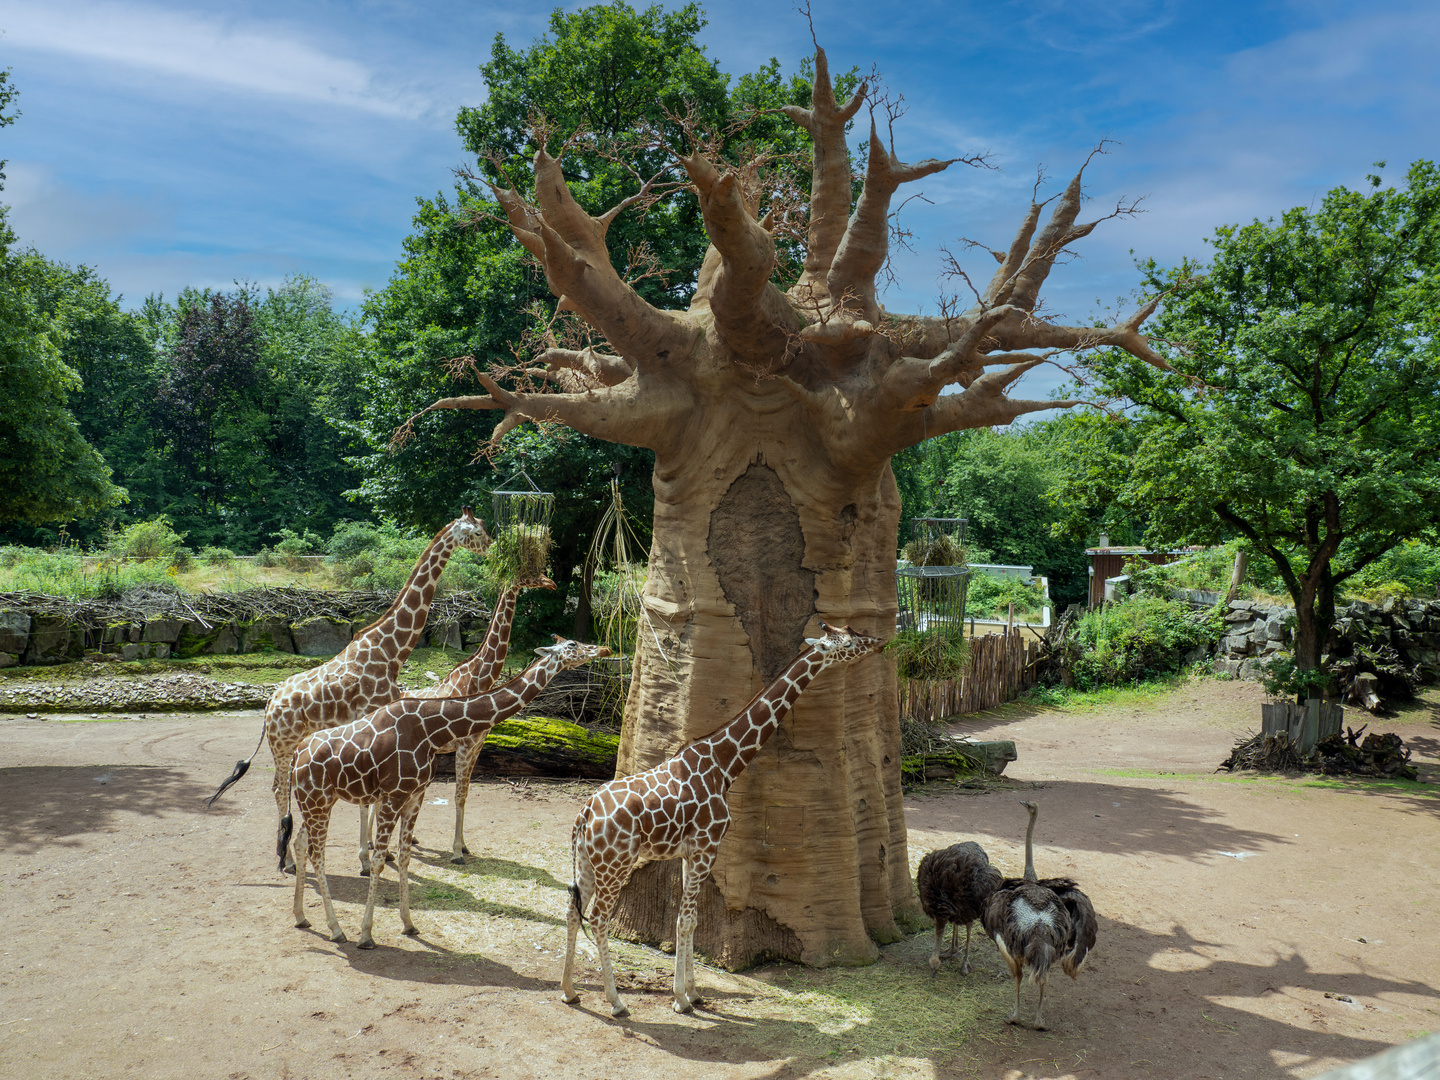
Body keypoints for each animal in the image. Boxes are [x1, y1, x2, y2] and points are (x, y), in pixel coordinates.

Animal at [203, 509, 492, 881]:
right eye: (477, 531)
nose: (491, 546)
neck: (392, 653)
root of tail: (268, 707)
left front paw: (379, 852)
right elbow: (369, 801)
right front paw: (367, 859)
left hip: (289, 746)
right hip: (283, 745)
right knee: (279, 789)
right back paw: (289, 861)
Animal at [286, 639, 613, 950]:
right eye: (571, 645)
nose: (603, 648)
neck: (431, 728)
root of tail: (296, 757)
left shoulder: (415, 795)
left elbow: (405, 856)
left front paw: (409, 924)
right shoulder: (393, 795)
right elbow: (380, 859)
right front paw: (366, 934)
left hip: (318, 801)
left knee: (301, 843)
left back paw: (302, 917)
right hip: (317, 800)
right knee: (317, 852)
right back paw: (336, 929)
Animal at [411, 576, 561, 864]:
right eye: (531, 572)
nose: (552, 583)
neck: (478, 679)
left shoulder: (477, 745)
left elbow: (465, 795)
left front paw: (465, 846)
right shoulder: (463, 745)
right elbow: (458, 795)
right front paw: (456, 852)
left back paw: (409, 839)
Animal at [558, 622, 875, 1019]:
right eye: (847, 641)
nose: (877, 642)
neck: (724, 765)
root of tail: (582, 816)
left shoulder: (688, 853)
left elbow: (691, 920)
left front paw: (693, 993)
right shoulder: (707, 848)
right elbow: (685, 920)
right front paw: (681, 999)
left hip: (588, 863)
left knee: (572, 910)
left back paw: (569, 991)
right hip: (615, 865)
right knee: (598, 919)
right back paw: (616, 1002)